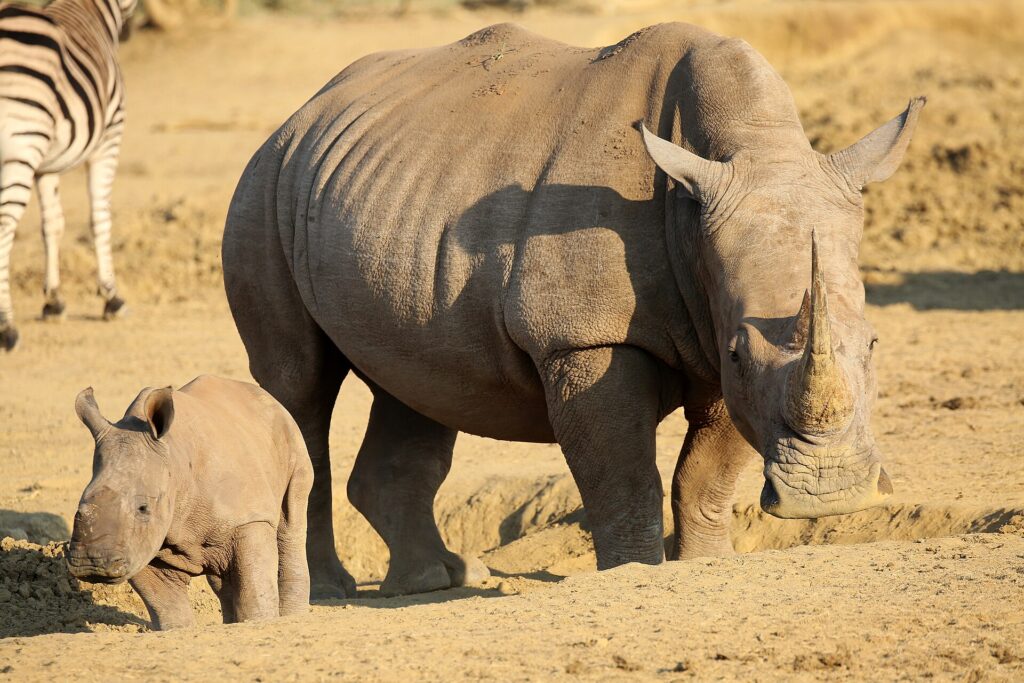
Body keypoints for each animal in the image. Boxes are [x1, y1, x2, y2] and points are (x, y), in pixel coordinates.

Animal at [0, 0, 137, 352]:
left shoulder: (46, 163)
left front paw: (54, 302)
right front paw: (112, 297)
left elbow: (53, 224)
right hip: (23, 144)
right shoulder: (109, 137)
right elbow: (100, 218)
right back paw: (7, 327)